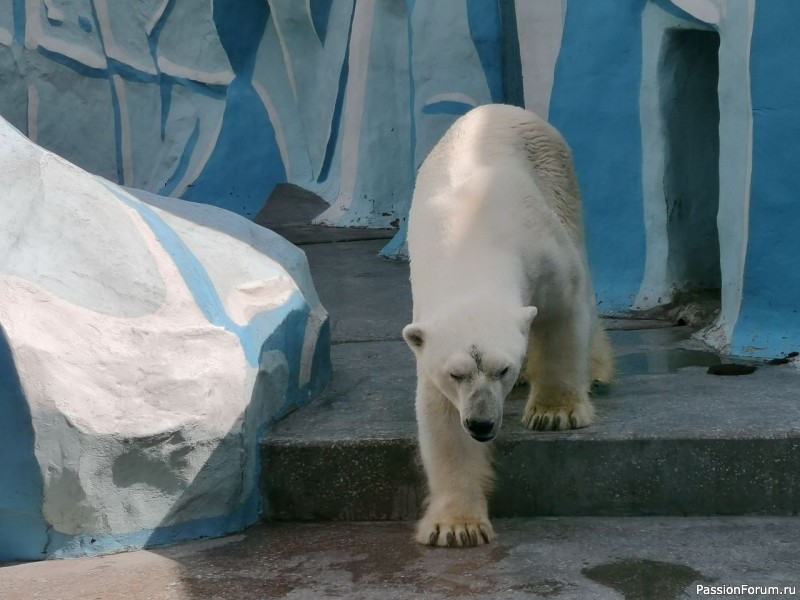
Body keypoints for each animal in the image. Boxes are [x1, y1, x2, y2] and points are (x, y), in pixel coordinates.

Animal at [404, 104, 616, 548]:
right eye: (456, 374)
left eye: (502, 368)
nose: (482, 423)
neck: (468, 251)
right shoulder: (427, 322)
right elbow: (440, 417)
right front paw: (457, 526)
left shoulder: (539, 250)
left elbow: (564, 309)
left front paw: (555, 413)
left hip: (558, 176)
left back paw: (596, 369)